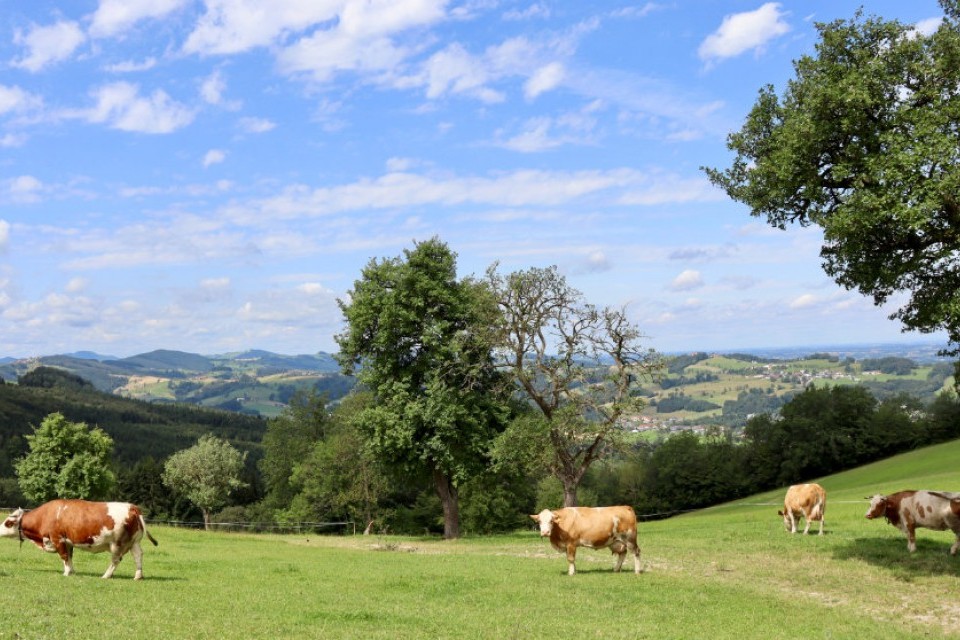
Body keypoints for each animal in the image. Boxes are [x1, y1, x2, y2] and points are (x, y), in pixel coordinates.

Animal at [0, 500, 158, 580]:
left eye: (8, 522)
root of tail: (132, 507)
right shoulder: (68, 541)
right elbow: (69, 557)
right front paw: (72, 571)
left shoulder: (58, 539)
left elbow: (64, 557)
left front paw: (66, 573)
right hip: (134, 542)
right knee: (138, 556)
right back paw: (138, 576)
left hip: (117, 543)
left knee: (116, 560)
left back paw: (106, 575)